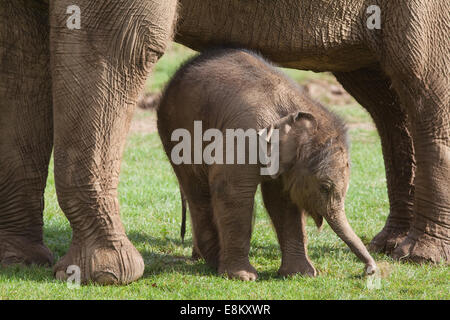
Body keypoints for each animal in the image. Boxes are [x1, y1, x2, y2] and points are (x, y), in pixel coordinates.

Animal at [156, 48, 378, 280]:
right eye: (324, 187)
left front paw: (301, 274)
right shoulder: (245, 134)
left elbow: (282, 200)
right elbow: (233, 191)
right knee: (198, 190)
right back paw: (215, 262)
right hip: (175, 131)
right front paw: (244, 277)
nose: (369, 270)